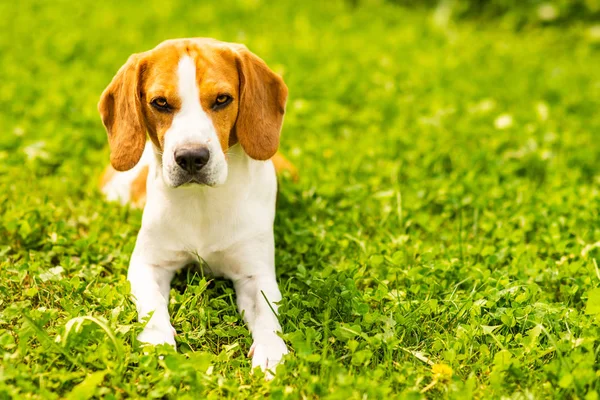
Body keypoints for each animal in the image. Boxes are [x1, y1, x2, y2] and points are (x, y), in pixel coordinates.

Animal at [98, 39, 296, 376]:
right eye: (160, 102)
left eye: (222, 99)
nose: (191, 157)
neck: (202, 202)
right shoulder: (147, 265)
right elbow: (152, 307)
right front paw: (157, 342)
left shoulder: (256, 275)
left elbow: (268, 315)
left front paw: (271, 352)